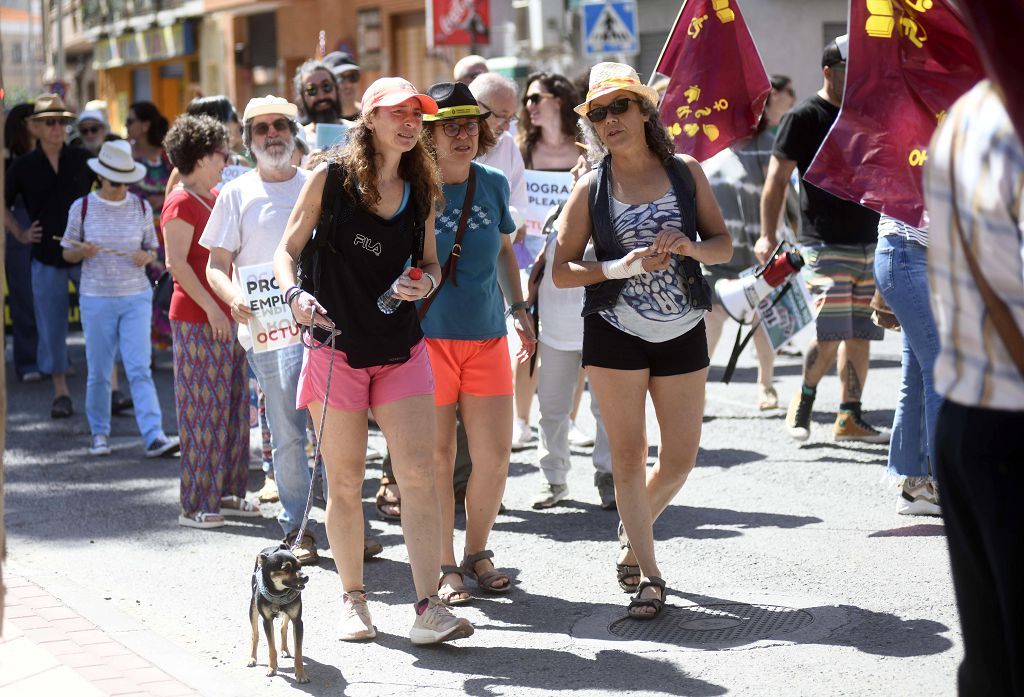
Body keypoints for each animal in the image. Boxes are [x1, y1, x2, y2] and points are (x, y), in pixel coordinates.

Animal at [249, 540, 309, 683]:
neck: (278, 593)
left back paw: (284, 649)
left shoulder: (297, 621)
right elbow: (271, 648)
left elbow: (298, 651)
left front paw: (301, 674)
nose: (306, 577)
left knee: (283, 627)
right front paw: (272, 668)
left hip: (288, 613)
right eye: (286, 569)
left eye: (300, 565)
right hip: (252, 609)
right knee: (255, 634)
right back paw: (252, 658)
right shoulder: (266, 621)